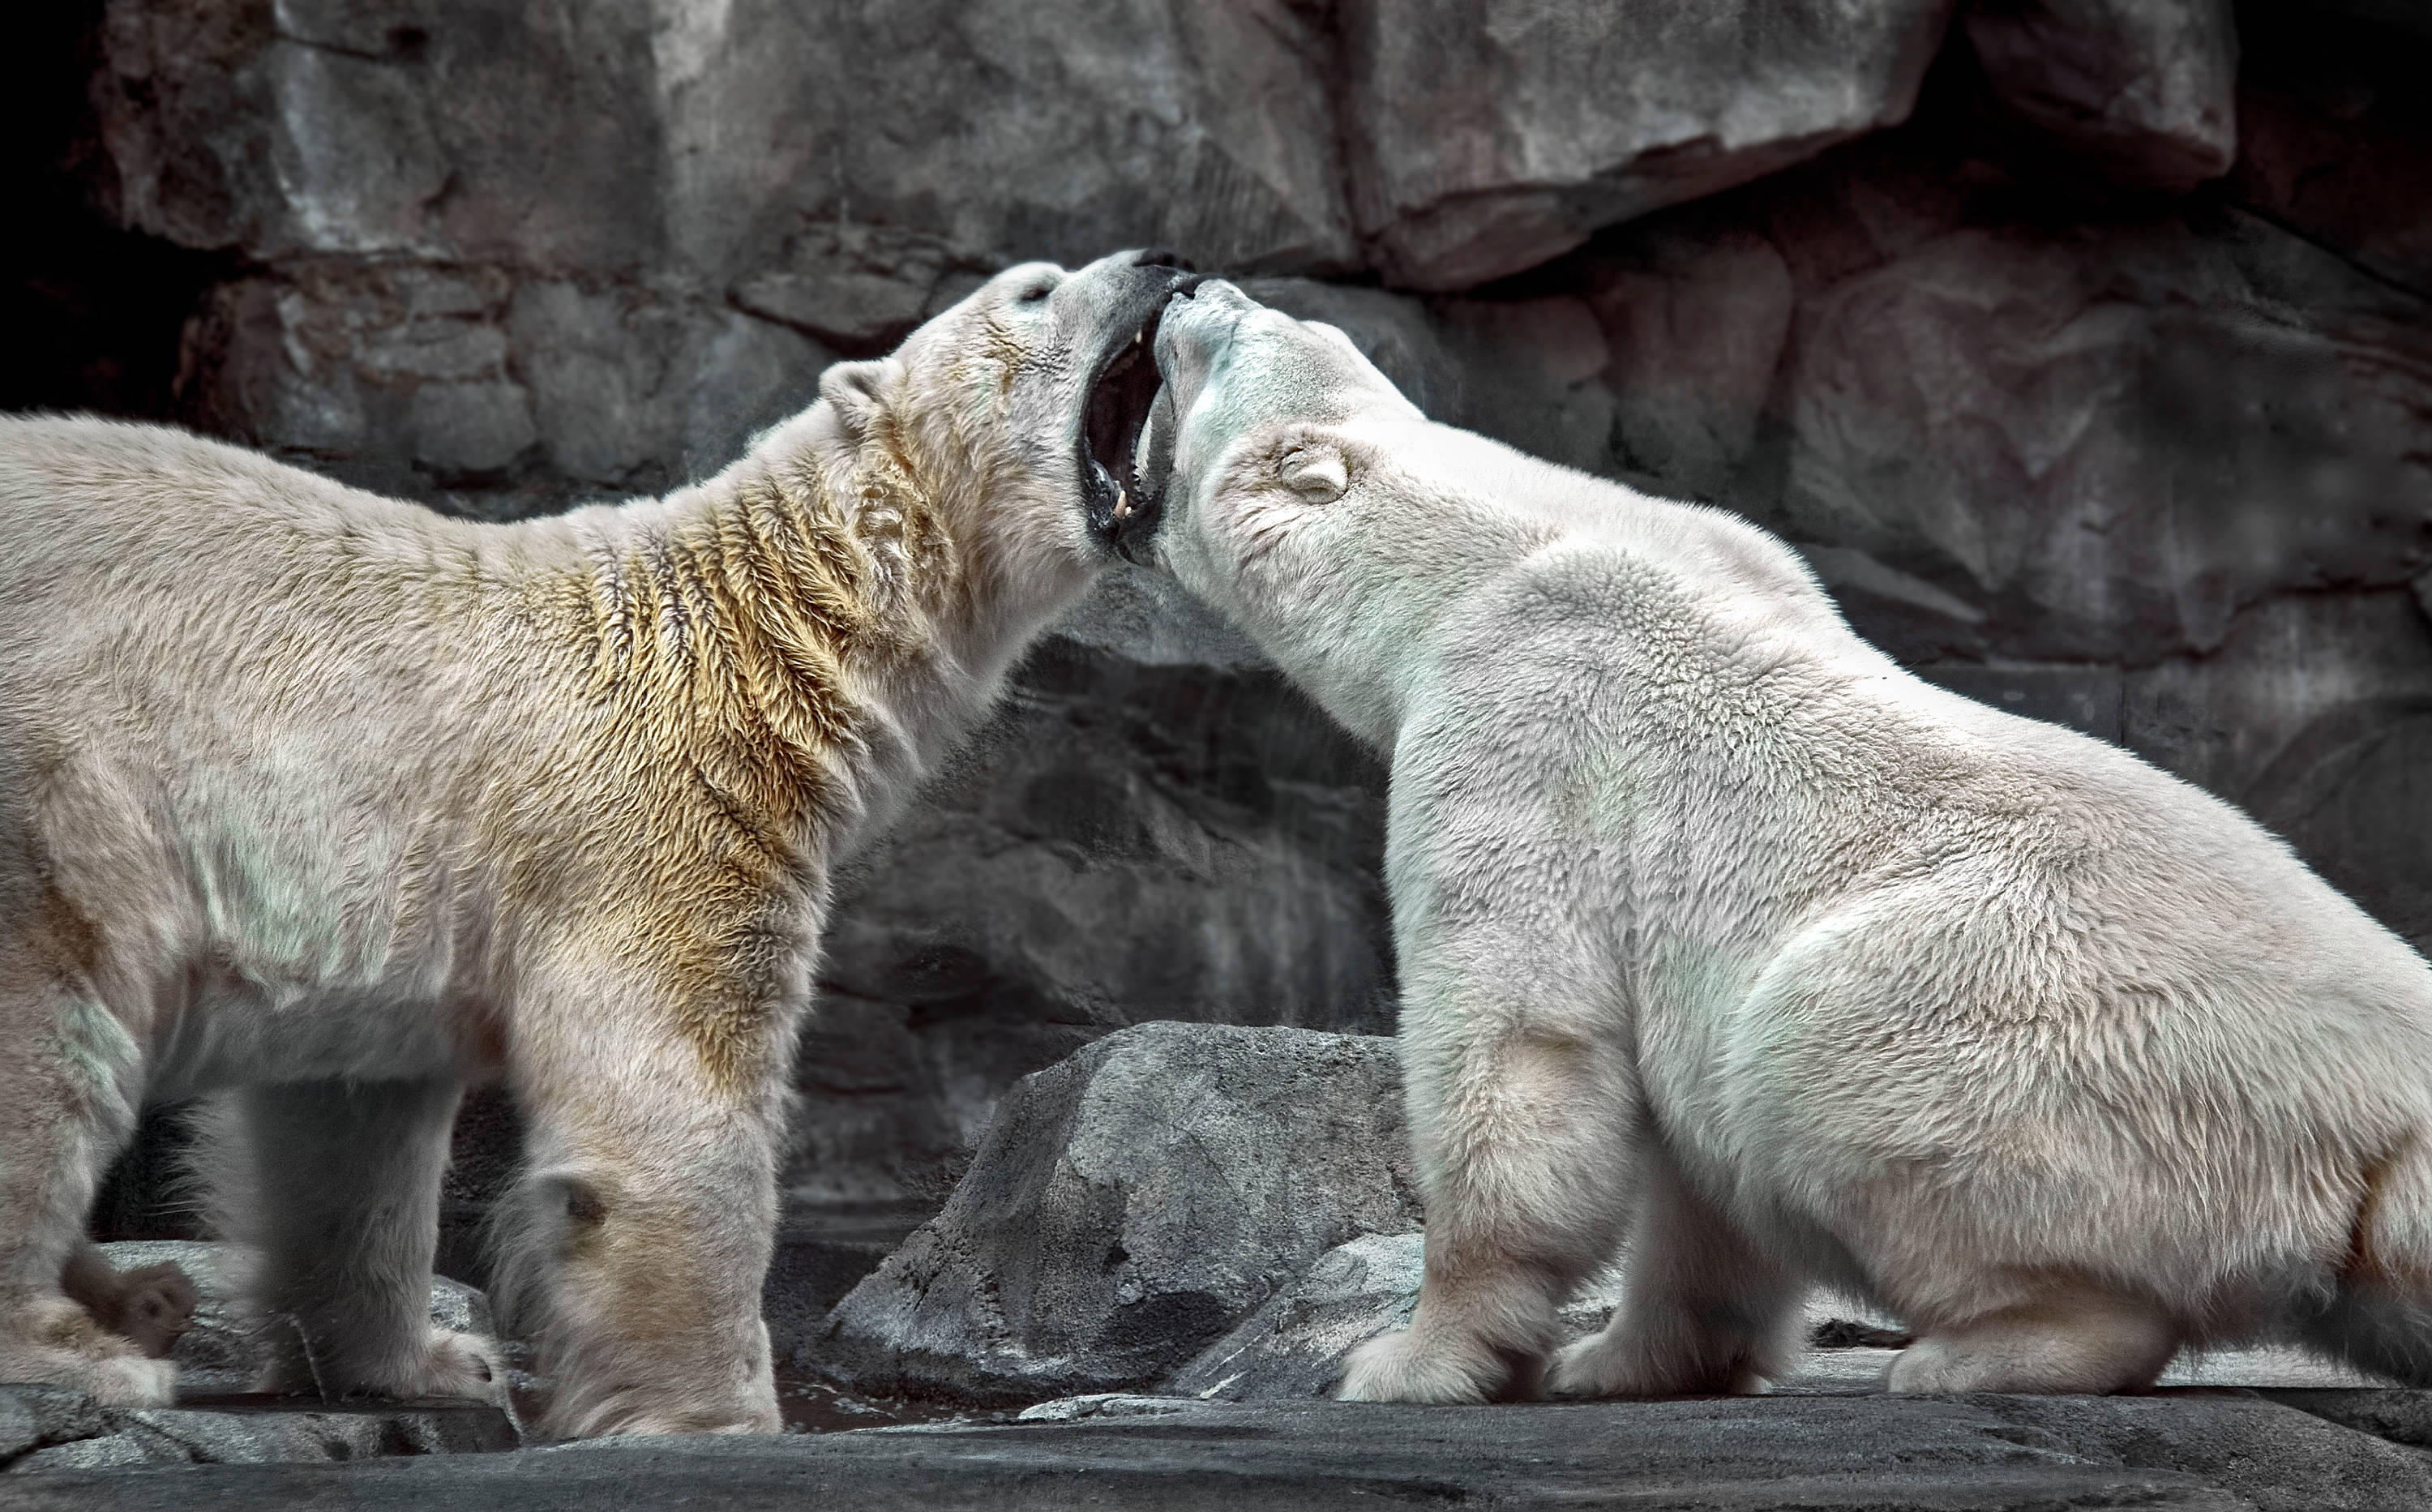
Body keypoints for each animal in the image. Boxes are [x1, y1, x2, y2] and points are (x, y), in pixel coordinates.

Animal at [0, 250, 1192, 1436]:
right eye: (1034, 288)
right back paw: (79, 1347)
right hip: (59, 779)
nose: (1163, 262)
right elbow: (674, 1109)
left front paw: (427, 1360)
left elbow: (351, 1120)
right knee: (51, 1013)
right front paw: (722, 1417)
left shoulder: (384, 884)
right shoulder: (659, 823)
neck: (752, 639)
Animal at [1097, 276, 2432, 1403]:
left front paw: (1408, 1360)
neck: (1498, 557)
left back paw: (1971, 1352)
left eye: (1232, 339)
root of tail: (2388, 1114)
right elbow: (1697, 1179)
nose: (1185, 283)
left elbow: (1518, 1031)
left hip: (2052, 1031)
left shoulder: (1517, 722)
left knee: (1812, 1045)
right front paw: (1617, 1361)